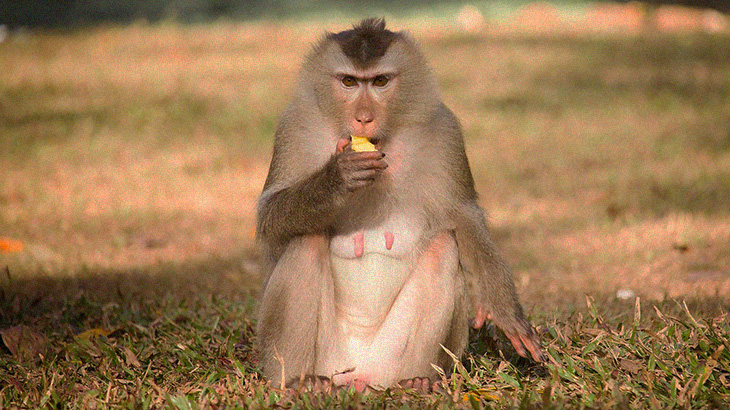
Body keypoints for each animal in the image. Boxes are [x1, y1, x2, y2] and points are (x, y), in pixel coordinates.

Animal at [255, 18, 544, 391]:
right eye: (349, 82)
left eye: (380, 81)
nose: (363, 117)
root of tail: (359, 377)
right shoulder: (295, 127)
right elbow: (269, 214)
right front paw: (337, 178)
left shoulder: (443, 133)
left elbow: (464, 216)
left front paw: (505, 311)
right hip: (328, 359)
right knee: (306, 239)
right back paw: (300, 382)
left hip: (388, 362)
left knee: (442, 248)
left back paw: (418, 380)